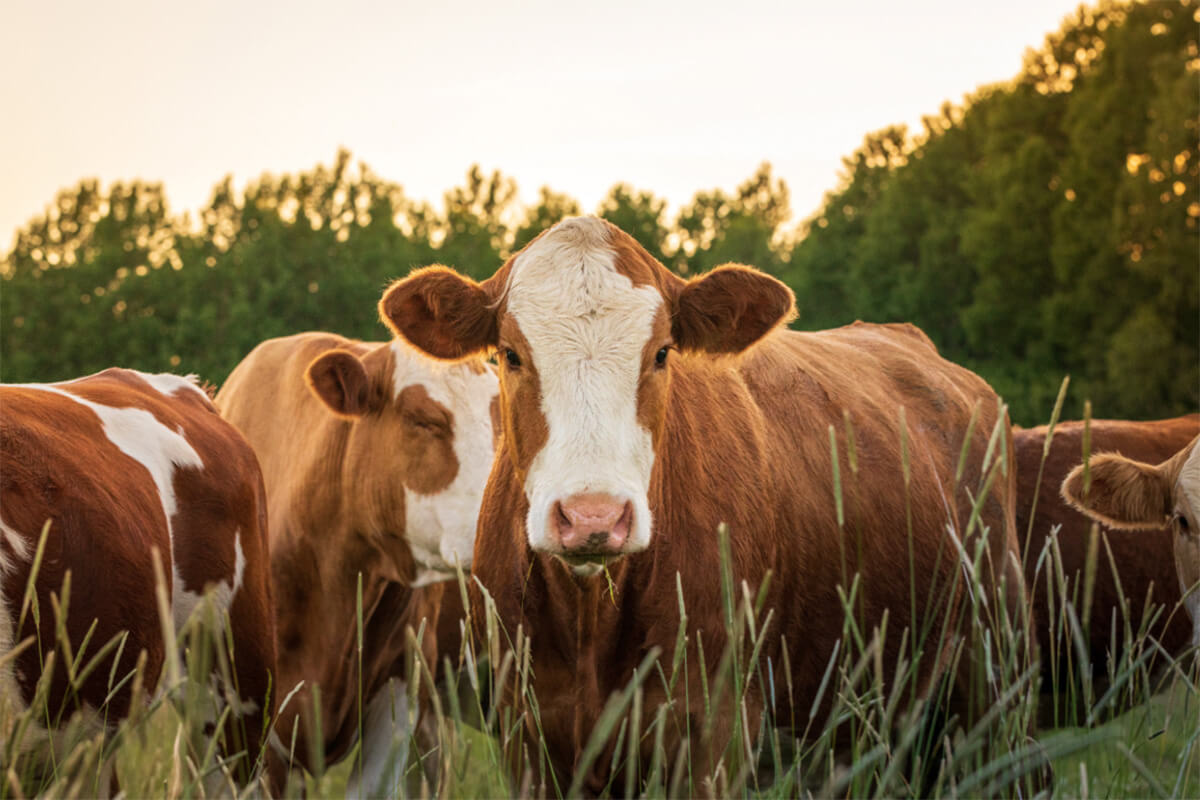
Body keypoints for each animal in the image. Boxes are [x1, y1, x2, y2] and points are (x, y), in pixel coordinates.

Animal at [379, 217, 1036, 796]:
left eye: (662, 353)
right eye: (511, 354)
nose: (593, 517)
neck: (591, 617)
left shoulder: (712, 733)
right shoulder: (527, 736)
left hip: (993, 679)